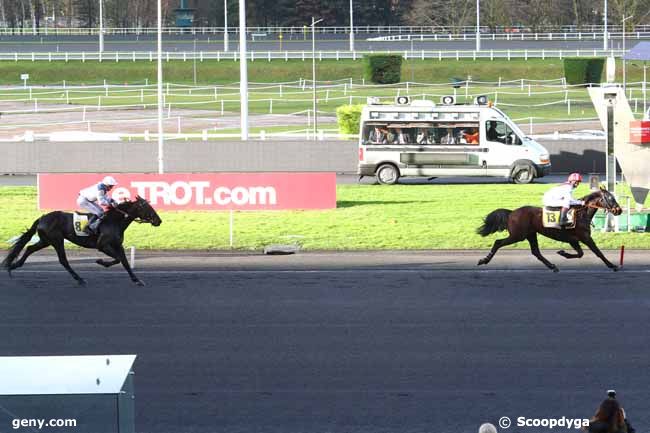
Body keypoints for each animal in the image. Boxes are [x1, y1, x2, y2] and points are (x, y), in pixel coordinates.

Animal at [2, 195, 161, 284]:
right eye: (147, 207)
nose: (159, 221)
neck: (114, 221)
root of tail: (42, 217)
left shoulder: (117, 245)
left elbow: (125, 262)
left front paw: (137, 280)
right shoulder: (103, 245)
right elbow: (117, 259)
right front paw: (101, 262)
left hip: (46, 240)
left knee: (29, 248)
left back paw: (13, 266)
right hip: (56, 240)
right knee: (63, 260)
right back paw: (79, 279)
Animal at [476, 187, 624, 272]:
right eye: (610, 198)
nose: (619, 210)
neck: (581, 213)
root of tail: (512, 212)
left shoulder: (573, 239)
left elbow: (580, 253)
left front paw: (563, 253)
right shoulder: (585, 237)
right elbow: (598, 252)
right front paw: (613, 265)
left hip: (530, 234)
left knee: (536, 252)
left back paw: (552, 266)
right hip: (518, 235)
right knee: (498, 242)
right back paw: (484, 260)